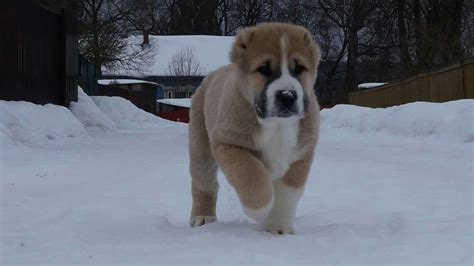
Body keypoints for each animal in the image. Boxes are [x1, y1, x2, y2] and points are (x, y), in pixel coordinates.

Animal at [187, 22, 320, 235]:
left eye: (299, 68)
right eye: (263, 69)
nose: (287, 95)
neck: (276, 125)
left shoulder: (301, 155)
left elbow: (287, 193)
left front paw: (277, 227)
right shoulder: (229, 144)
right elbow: (252, 174)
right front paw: (260, 211)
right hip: (201, 146)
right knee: (204, 182)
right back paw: (203, 216)